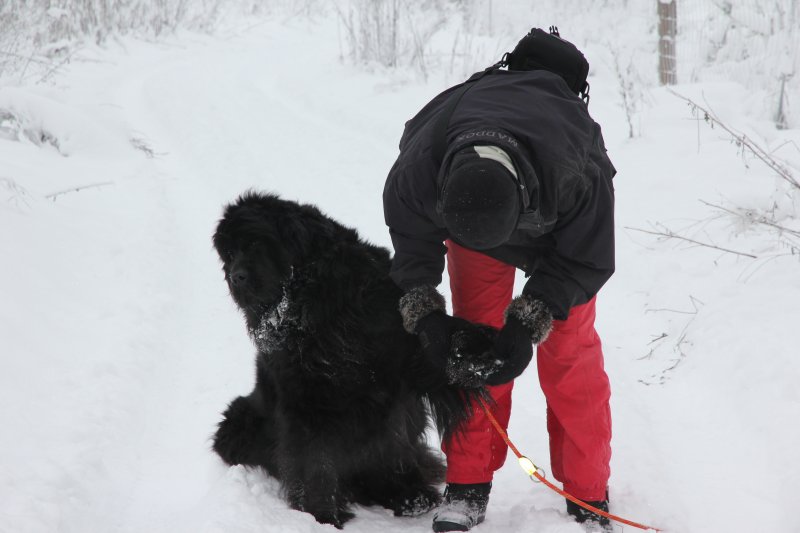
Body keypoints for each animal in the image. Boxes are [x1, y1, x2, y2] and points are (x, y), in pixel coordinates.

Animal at [210, 192, 494, 527]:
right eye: (229, 254)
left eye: (255, 243)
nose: (236, 277)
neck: (315, 302)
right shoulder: (305, 397)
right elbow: (313, 459)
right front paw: (321, 515)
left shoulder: (401, 354)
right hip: (237, 420)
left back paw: (409, 495)